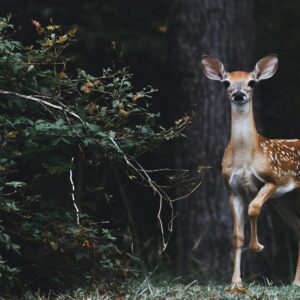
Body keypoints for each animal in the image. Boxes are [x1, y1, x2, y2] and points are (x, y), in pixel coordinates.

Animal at [200, 54, 300, 288]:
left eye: (252, 82)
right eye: (226, 82)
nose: (239, 94)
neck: (246, 156)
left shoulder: (272, 179)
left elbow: (254, 209)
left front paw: (258, 247)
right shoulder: (233, 190)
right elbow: (237, 235)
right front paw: (236, 283)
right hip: (285, 200)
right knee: (299, 230)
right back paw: (295, 282)